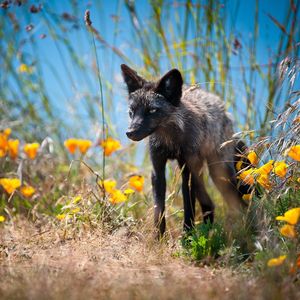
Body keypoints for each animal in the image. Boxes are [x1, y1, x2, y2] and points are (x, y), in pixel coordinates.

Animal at [120, 63, 248, 237]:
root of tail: (222, 107)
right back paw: (209, 230)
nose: (130, 132)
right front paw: (158, 239)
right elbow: (159, 211)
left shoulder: (187, 172)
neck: (170, 142)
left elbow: (189, 208)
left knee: (237, 203)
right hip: (203, 174)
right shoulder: (157, 171)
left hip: (218, 174)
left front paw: (187, 237)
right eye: (131, 111)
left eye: (152, 110)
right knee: (209, 204)